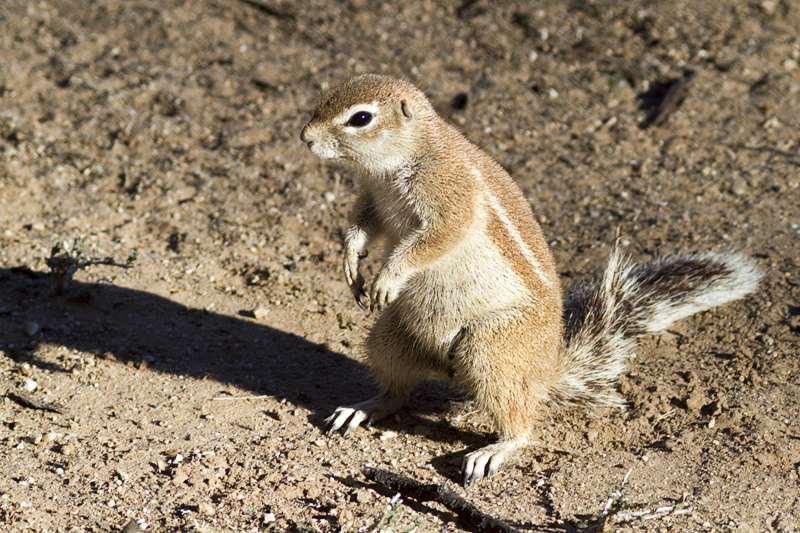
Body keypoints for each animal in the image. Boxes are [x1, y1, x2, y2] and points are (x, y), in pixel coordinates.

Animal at [300, 75, 764, 486]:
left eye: (361, 118)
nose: (304, 137)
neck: (409, 153)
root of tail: (544, 371)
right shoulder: (372, 196)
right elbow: (362, 225)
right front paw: (351, 262)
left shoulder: (450, 195)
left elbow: (436, 238)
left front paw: (388, 276)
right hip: (390, 336)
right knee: (397, 392)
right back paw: (363, 408)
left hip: (490, 348)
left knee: (521, 424)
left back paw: (494, 450)